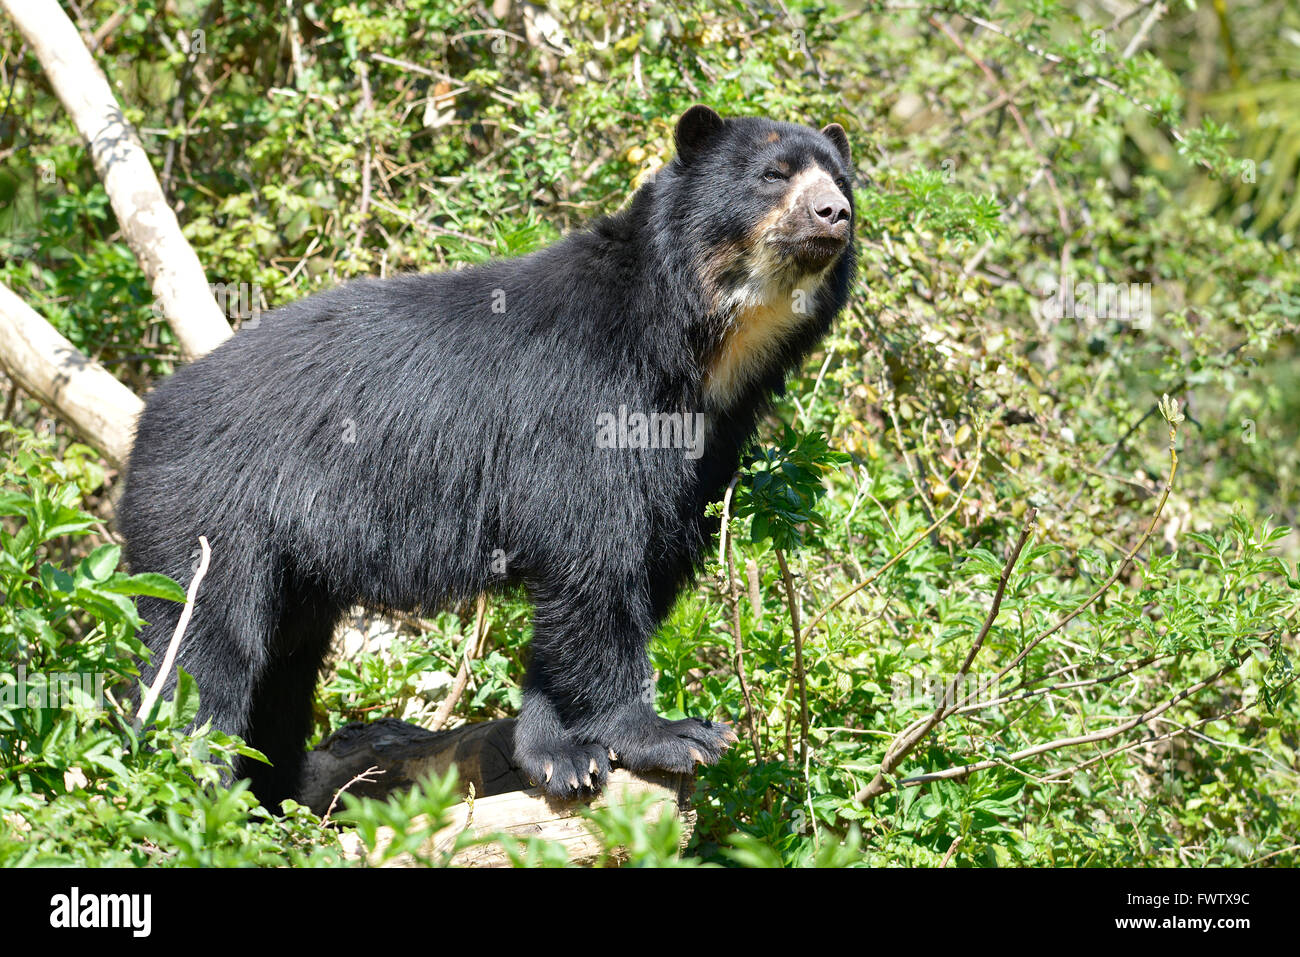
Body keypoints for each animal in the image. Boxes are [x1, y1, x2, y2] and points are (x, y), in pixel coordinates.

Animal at [118, 105, 856, 806]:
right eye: (774, 175)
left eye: (842, 180)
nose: (834, 213)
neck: (702, 344)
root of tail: (147, 419)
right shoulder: (584, 402)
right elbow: (594, 558)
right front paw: (666, 734)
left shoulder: (706, 442)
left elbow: (644, 559)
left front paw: (558, 752)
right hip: (212, 513)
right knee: (206, 650)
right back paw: (194, 785)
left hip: (291, 567)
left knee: (281, 668)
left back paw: (268, 795)